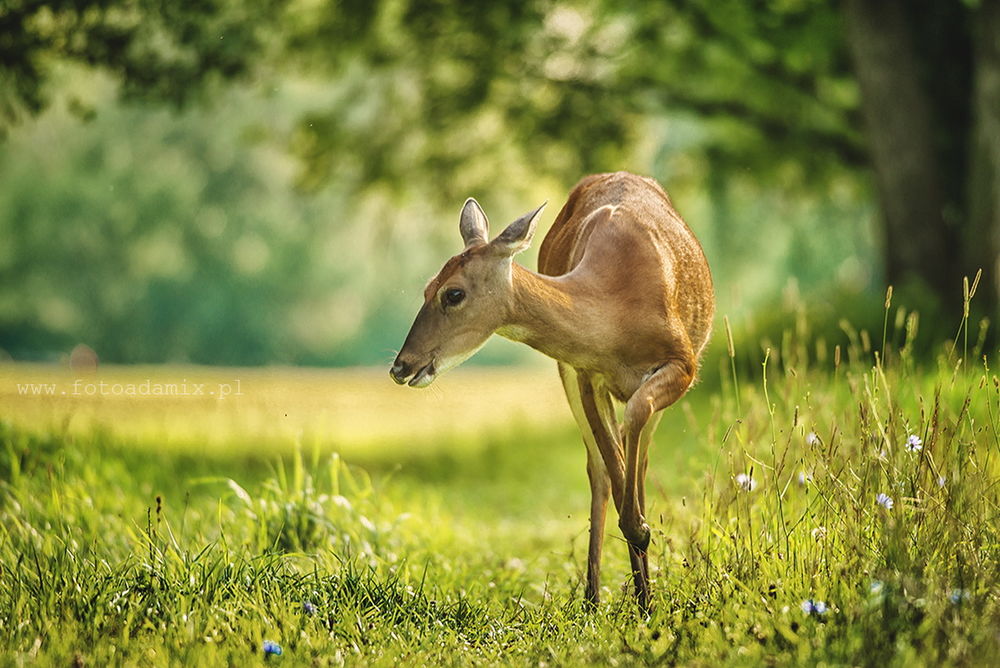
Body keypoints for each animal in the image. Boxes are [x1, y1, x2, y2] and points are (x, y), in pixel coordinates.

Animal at [389, 171, 714, 610]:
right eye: (426, 288)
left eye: (452, 293)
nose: (401, 365)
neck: (617, 310)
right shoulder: (585, 373)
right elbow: (610, 466)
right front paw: (638, 585)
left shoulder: (683, 363)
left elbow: (635, 420)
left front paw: (645, 582)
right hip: (566, 375)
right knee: (599, 469)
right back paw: (595, 597)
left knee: (639, 457)